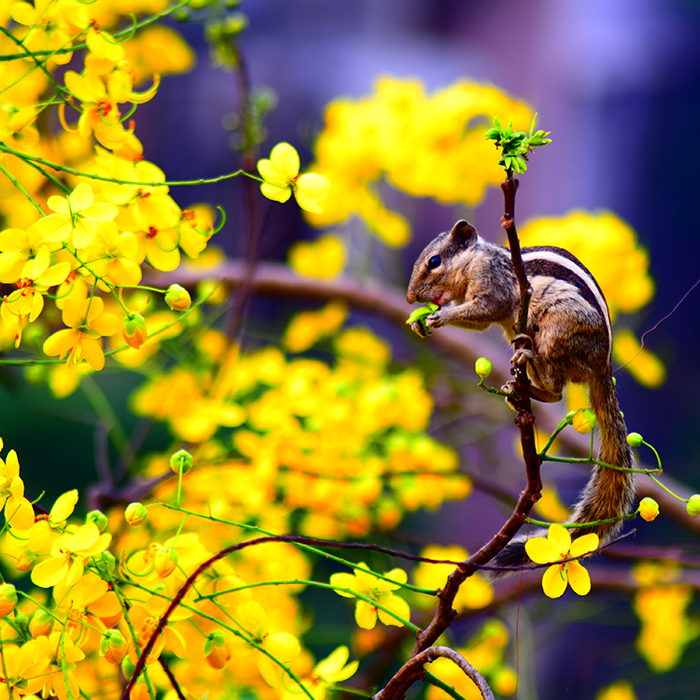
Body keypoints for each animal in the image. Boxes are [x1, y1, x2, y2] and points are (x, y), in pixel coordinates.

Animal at [406, 219, 636, 573]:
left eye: (434, 261)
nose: (411, 297)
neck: (476, 260)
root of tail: (603, 365)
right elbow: (479, 320)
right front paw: (421, 323)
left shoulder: (493, 287)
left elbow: (486, 309)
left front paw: (438, 316)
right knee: (552, 391)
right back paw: (518, 388)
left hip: (556, 331)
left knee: (556, 389)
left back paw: (526, 364)